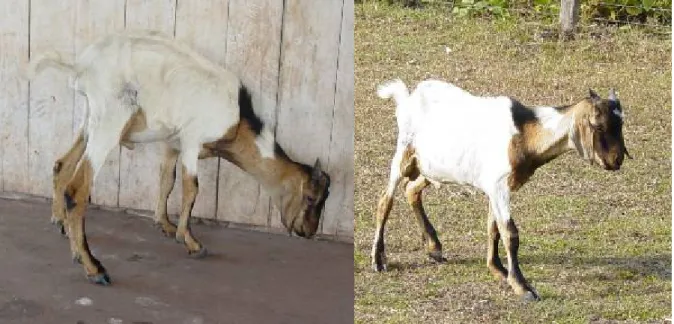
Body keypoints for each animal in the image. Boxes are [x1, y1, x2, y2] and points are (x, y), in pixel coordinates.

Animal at [26, 29, 330, 284]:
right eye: (310, 197)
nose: (308, 231)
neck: (238, 122)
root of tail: (82, 64)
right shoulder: (192, 140)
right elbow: (191, 189)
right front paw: (192, 242)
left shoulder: (172, 144)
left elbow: (166, 181)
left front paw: (166, 225)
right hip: (110, 122)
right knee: (77, 189)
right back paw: (93, 267)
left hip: (89, 121)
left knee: (62, 165)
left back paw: (67, 233)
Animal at [372, 79, 632, 302]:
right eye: (598, 125)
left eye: (620, 124)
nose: (616, 160)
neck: (525, 133)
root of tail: (409, 97)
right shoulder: (499, 185)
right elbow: (510, 233)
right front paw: (522, 287)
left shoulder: (495, 187)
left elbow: (493, 228)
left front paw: (497, 269)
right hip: (404, 154)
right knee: (385, 200)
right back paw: (378, 259)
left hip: (432, 168)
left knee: (411, 190)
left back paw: (434, 248)